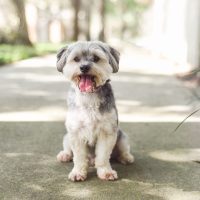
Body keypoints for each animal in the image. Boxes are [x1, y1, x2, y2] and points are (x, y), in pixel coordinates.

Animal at [56, 40, 134, 181]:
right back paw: (65, 155)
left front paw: (106, 172)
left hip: (121, 137)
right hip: (67, 137)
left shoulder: (107, 132)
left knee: (122, 150)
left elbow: (103, 156)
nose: (84, 67)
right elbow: (79, 157)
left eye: (96, 58)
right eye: (76, 59)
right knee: (69, 150)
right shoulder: (76, 133)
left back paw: (126, 157)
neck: (89, 97)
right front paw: (78, 172)